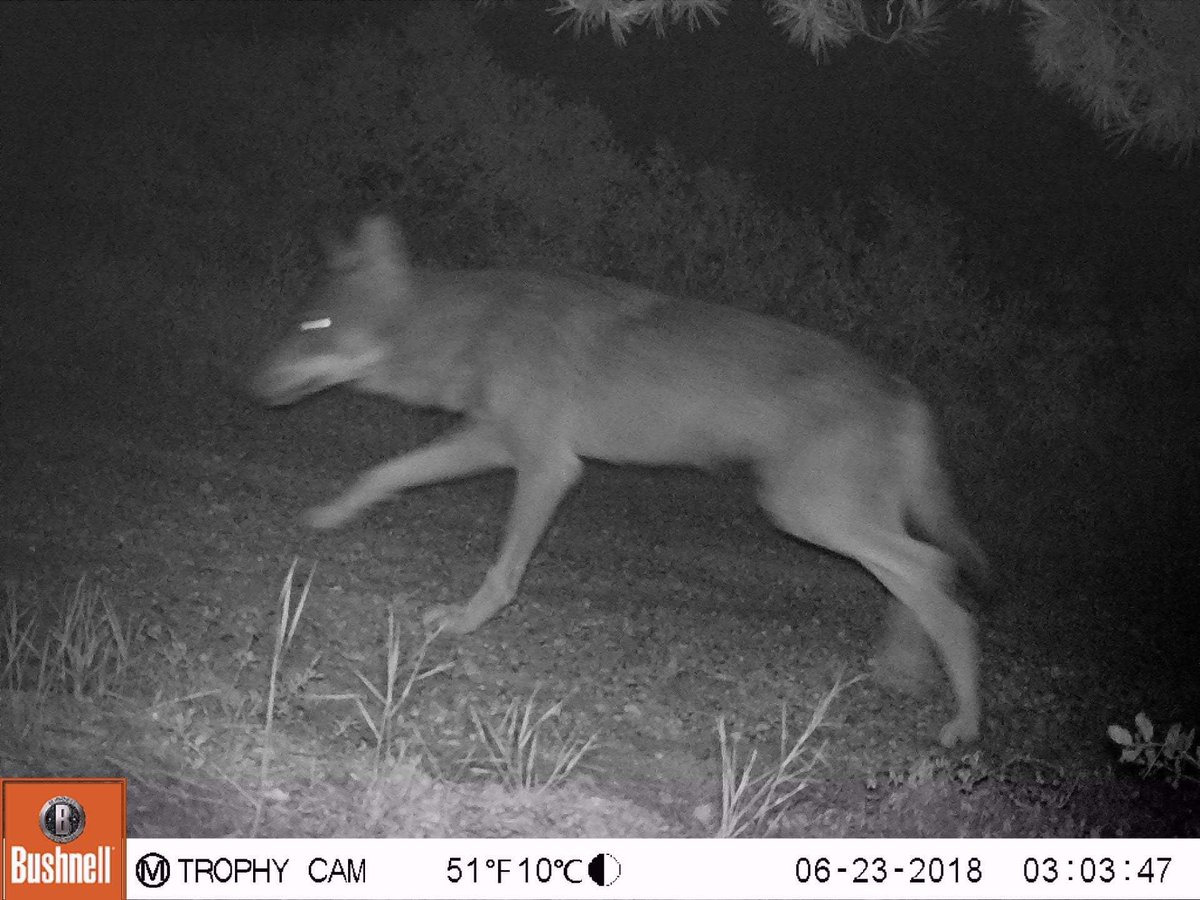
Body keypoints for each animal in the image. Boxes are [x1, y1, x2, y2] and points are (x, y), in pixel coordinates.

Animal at [252, 214, 986, 747]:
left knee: (940, 577)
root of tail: (905, 388)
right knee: (925, 572)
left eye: (314, 325)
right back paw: (903, 672)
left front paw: (462, 622)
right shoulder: (488, 441)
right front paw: (329, 515)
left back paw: (965, 723)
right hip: (831, 518)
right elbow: (383, 472)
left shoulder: (548, 466)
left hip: (805, 511)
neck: (475, 324)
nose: (250, 383)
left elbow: (503, 571)